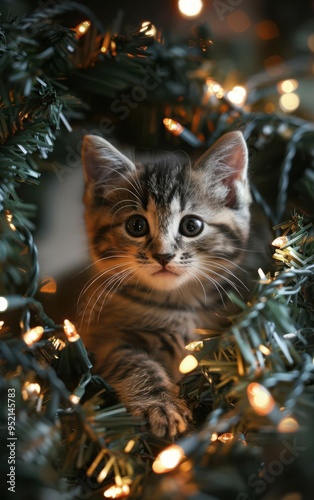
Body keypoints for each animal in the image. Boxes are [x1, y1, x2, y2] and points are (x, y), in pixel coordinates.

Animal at [79, 132, 251, 438]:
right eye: (136, 226)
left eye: (191, 226)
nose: (163, 255)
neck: (180, 302)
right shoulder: (102, 338)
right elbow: (132, 361)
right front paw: (160, 405)